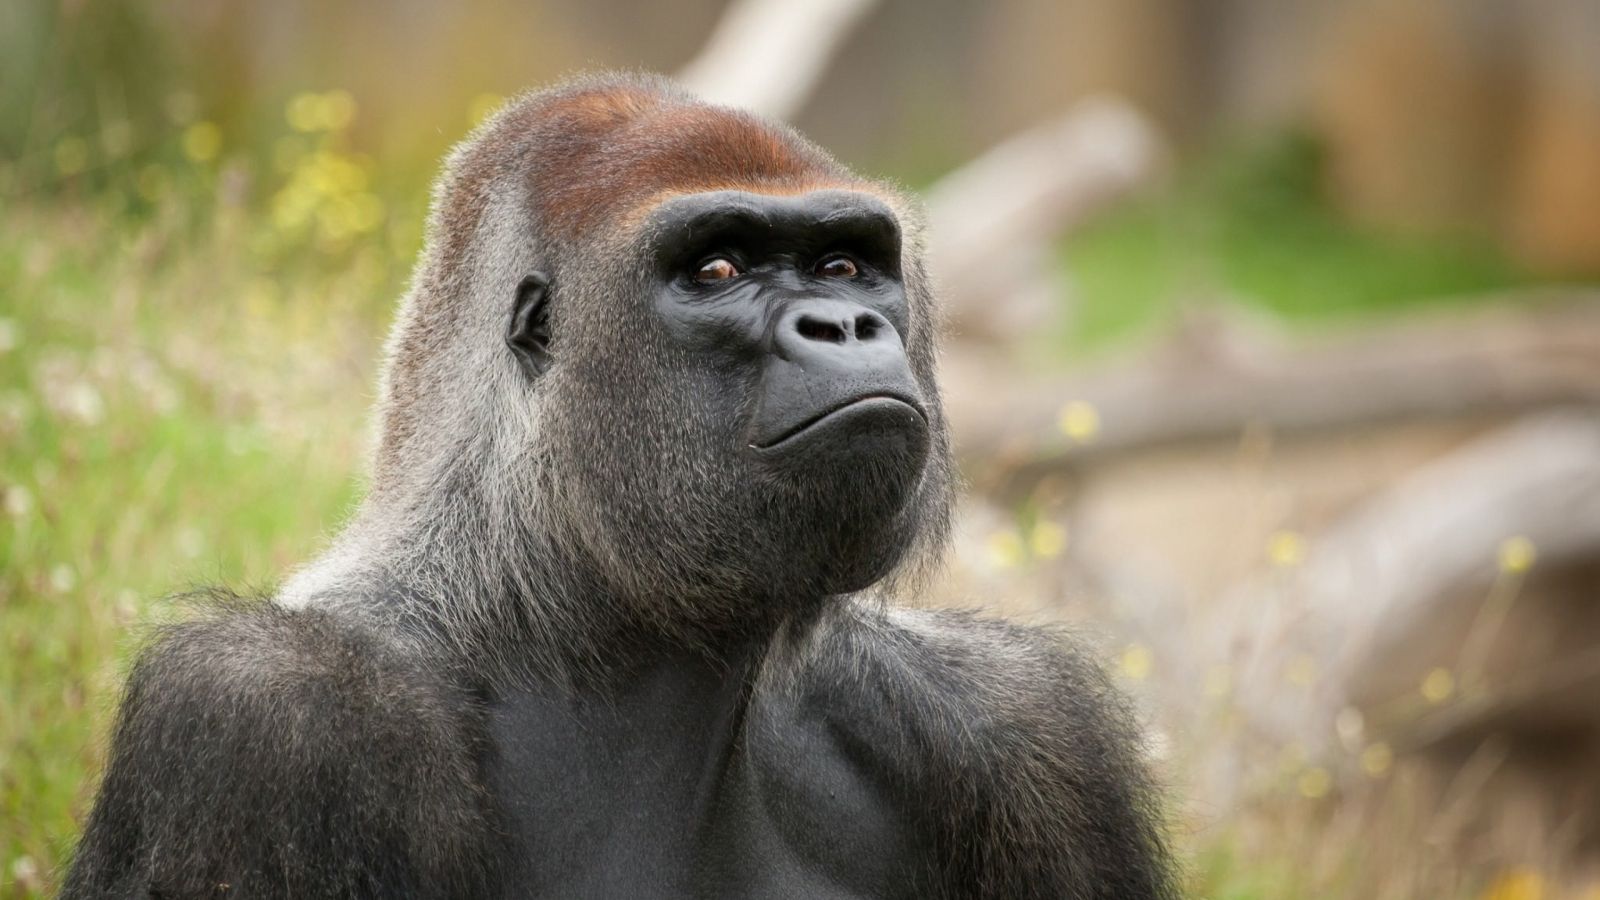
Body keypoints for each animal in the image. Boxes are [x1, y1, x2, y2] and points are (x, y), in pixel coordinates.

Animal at [63, 73, 1176, 899]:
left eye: (846, 265)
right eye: (718, 269)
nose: (846, 324)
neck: (550, 613)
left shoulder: (1019, 721)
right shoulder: (268, 718)